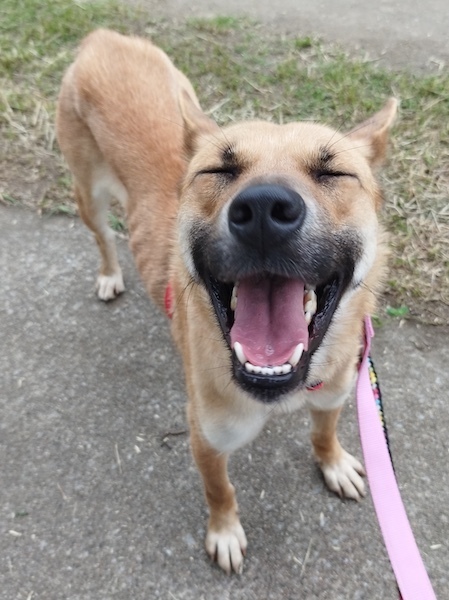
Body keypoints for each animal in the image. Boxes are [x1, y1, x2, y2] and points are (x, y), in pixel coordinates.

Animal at [56, 29, 397, 574]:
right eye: (218, 168)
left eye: (335, 173)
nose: (263, 209)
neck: (282, 389)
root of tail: (102, 37)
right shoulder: (207, 436)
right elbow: (220, 490)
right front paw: (224, 531)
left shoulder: (335, 393)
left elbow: (323, 433)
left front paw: (333, 462)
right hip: (88, 192)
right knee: (103, 238)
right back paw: (109, 274)